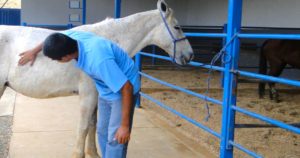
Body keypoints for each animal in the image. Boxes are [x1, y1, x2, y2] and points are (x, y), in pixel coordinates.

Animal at [0, 0, 192, 157]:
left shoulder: (96, 95)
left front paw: (93, 153)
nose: (189, 55)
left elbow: (93, 124)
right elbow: (84, 127)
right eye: (177, 27)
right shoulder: (88, 95)